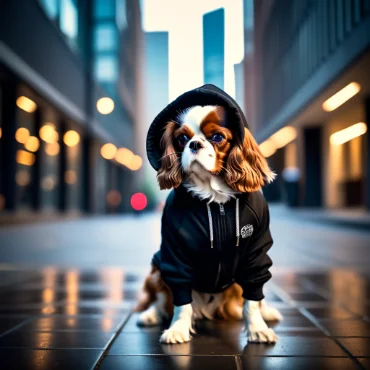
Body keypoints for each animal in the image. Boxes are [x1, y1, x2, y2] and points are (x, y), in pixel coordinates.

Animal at [137, 85, 282, 346]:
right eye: (182, 138)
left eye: (217, 137)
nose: (195, 144)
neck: (215, 199)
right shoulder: (175, 257)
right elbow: (180, 302)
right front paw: (177, 329)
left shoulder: (257, 255)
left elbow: (253, 300)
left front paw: (257, 328)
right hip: (155, 270)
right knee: (162, 300)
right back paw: (151, 315)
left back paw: (268, 312)